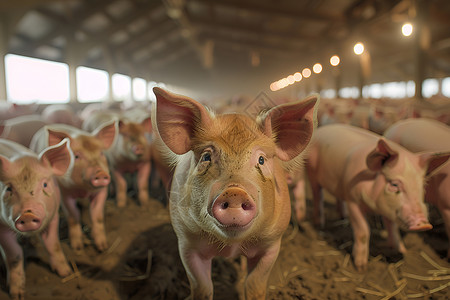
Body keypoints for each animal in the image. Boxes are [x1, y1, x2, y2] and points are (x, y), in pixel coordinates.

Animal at [0, 138, 72, 300]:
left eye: (45, 184)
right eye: (9, 189)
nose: (27, 214)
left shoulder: (53, 216)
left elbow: (53, 244)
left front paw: (66, 272)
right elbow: (14, 254)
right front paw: (17, 294)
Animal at [29, 122, 116, 251]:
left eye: (101, 153)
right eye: (76, 157)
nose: (100, 173)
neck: (84, 190)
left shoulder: (102, 191)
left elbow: (97, 216)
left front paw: (102, 247)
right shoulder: (64, 193)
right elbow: (73, 215)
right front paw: (77, 247)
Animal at [153, 87, 318, 300]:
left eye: (261, 160)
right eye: (206, 156)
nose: (234, 193)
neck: (231, 245)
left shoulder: (272, 244)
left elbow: (255, 285)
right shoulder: (187, 242)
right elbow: (202, 288)